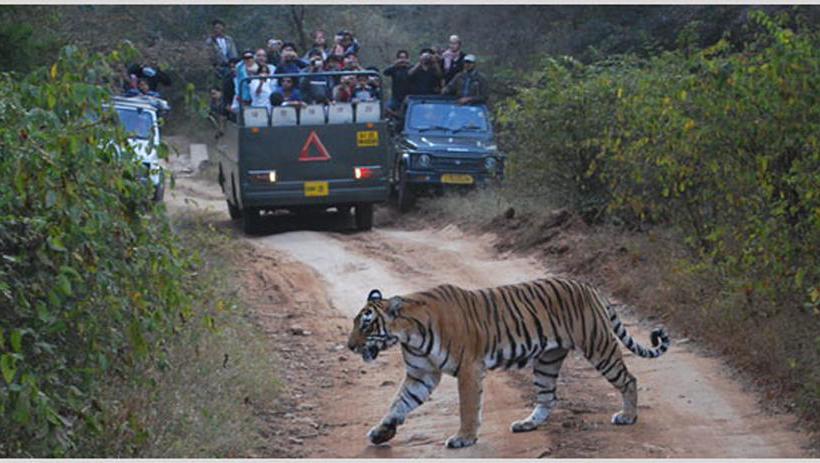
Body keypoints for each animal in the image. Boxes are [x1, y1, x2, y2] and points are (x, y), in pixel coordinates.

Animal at [346, 278, 671, 449]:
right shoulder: (421, 374)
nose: (350, 346)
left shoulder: (468, 368)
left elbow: (467, 407)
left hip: (598, 346)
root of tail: (587, 285)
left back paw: (628, 416)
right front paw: (382, 432)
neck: (408, 334)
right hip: (546, 361)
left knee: (629, 379)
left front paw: (463, 438)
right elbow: (399, 403)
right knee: (548, 397)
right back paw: (527, 424)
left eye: (366, 325)